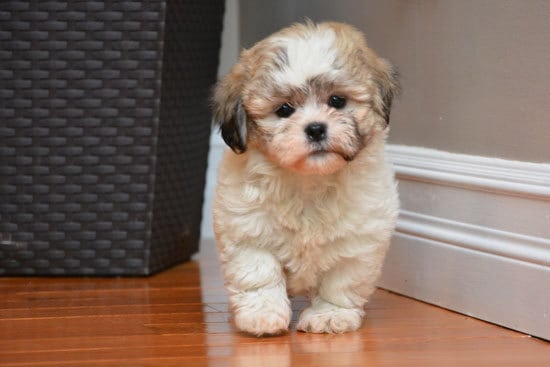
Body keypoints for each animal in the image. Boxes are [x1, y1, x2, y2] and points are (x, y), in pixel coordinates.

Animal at [212, 20, 402, 336]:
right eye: (284, 110)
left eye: (337, 101)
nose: (315, 128)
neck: (309, 181)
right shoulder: (248, 231)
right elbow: (259, 273)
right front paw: (263, 314)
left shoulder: (358, 241)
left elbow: (341, 281)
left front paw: (330, 316)